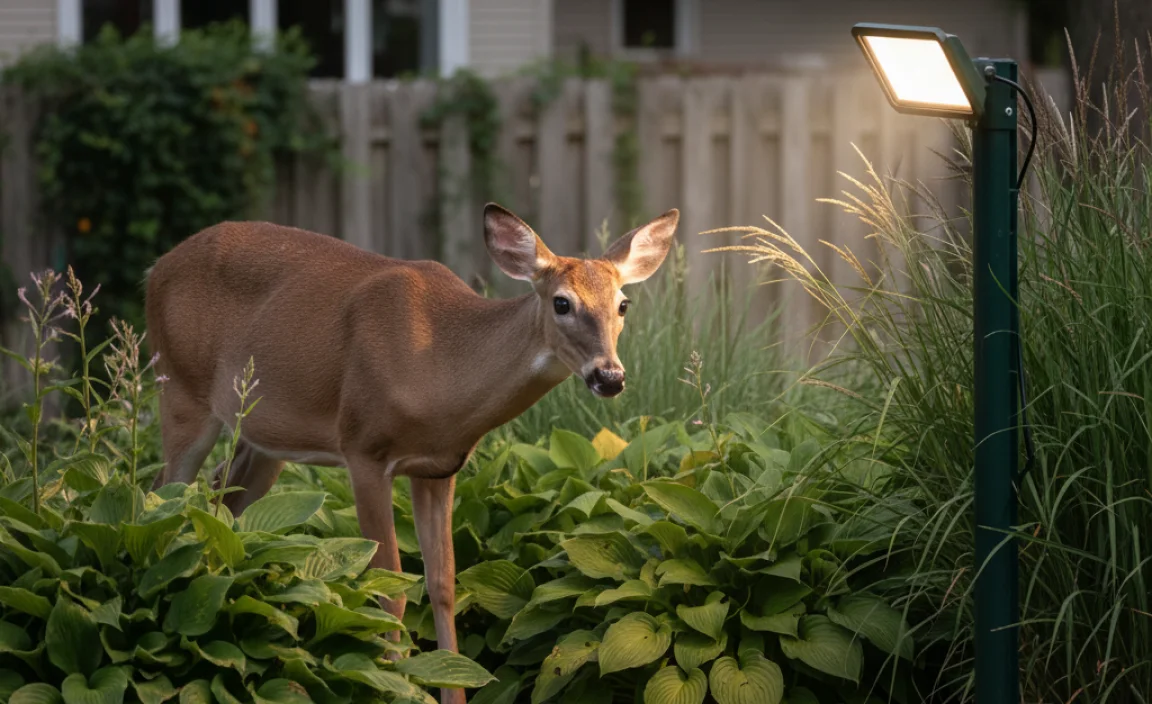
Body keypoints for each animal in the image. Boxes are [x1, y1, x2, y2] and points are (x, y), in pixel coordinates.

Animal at [145, 202, 680, 703]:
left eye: (623, 304)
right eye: (562, 302)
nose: (609, 376)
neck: (438, 367)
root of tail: (156, 268)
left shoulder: (439, 468)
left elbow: (443, 586)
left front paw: (448, 685)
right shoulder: (362, 449)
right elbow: (389, 590)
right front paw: (392, 683)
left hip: (265, 437)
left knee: (223, 502)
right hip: (181, 390)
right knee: (161, 500)